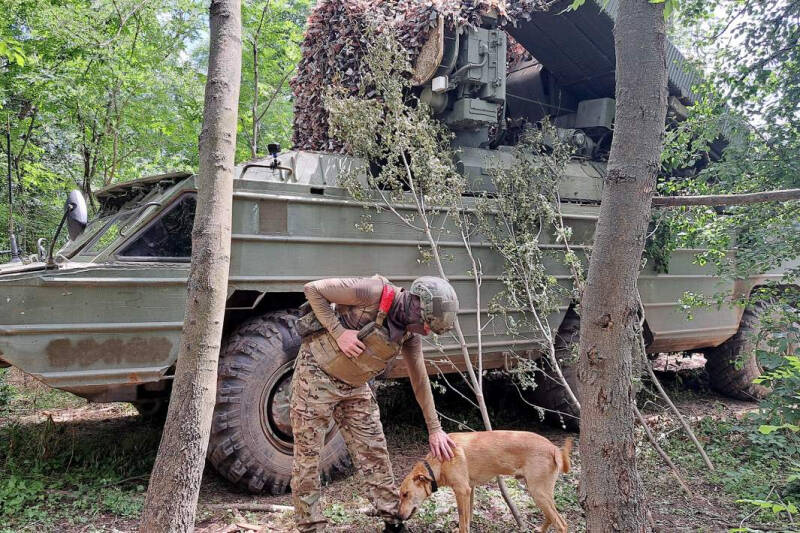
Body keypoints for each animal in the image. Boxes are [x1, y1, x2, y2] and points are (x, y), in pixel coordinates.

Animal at [398, 430, 572, 528]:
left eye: (406, 494)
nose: (398, 517)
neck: (440, 462)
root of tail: (553, 448)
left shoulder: (462, 491)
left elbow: (463, 522)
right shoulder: (469, 490)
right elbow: (467, 519)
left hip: (538, 493)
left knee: (561, 524)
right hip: (540, 492)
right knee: (551, 517)